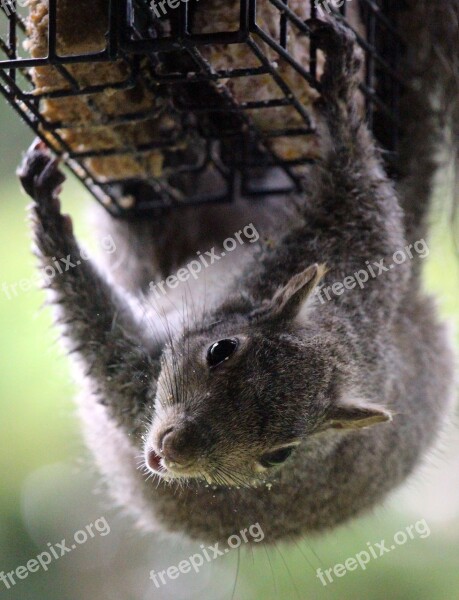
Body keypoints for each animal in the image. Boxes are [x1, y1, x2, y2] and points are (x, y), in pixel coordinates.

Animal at [16, 4, 458, 548]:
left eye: (280, 455)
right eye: (221, 350)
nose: (174, 451)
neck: (340, 337)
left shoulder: (137, 387)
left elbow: (98, 338)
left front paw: (50, 221)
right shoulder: (359, 249)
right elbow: (359, 178)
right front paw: (339, 81)